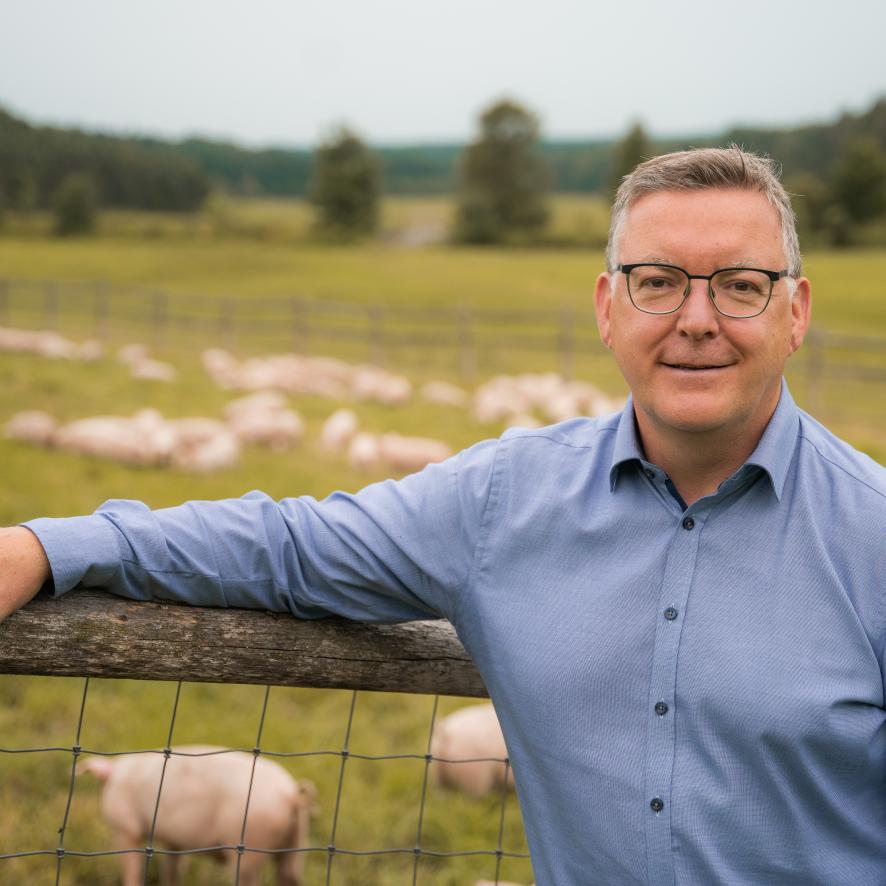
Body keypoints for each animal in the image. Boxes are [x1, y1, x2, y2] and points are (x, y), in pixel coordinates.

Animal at [78, 744, 318, 884]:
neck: (117, 776)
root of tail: (290, 795)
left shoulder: (126, 826)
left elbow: (132, 867)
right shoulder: (175, 842)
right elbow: (172, 869)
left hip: (251, 841)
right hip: (297, 841)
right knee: (290, 875)